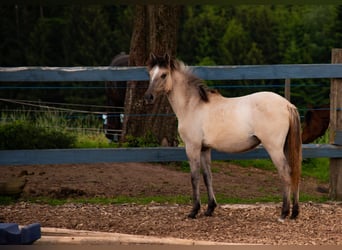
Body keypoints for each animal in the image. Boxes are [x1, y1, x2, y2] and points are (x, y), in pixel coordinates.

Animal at [144, 53, 302, 221]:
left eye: (163, 74)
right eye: (150, 74)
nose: (148, 97)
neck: (192, 106)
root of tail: (287, 105)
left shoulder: (192, 147)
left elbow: (194, 177)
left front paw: (194, 211)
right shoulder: (205, 149)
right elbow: (207, 177)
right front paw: (210, 209)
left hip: (274, 148)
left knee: (285, 173)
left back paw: (284, 213)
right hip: (285, 147)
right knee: (294, 173)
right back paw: (294, 212)